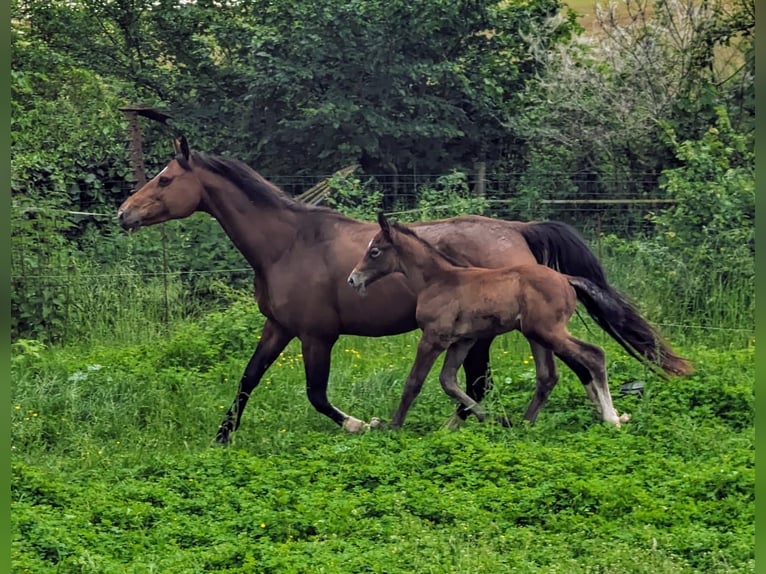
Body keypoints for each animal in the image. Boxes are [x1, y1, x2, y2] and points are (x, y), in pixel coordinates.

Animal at [352, 214, 632, 430]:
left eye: (374, 251)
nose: (353, 279)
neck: (439, 279)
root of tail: (566, 279)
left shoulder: (434, 337)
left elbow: (414, 383)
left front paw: (392, 426)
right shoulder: (463, 340)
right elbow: (449, 381)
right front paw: (493, 418)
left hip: (548, 331)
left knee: (594, 355)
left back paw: (611, 418)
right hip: (537, 334)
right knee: (548, 376)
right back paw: (523, 424)